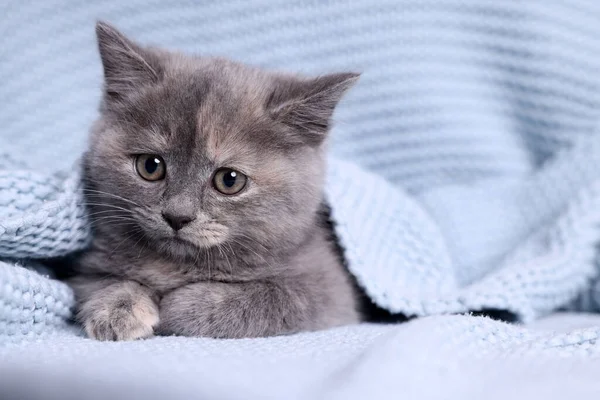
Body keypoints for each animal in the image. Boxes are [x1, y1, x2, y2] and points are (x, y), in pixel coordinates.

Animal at [70, 22, 360, 340]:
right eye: (150, 166)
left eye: (229, 181)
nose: (177, 216)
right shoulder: (88, 267)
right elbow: (104, 280)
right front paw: (117, 310)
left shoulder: (328, 289)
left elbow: (268, 300)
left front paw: (178, 306)